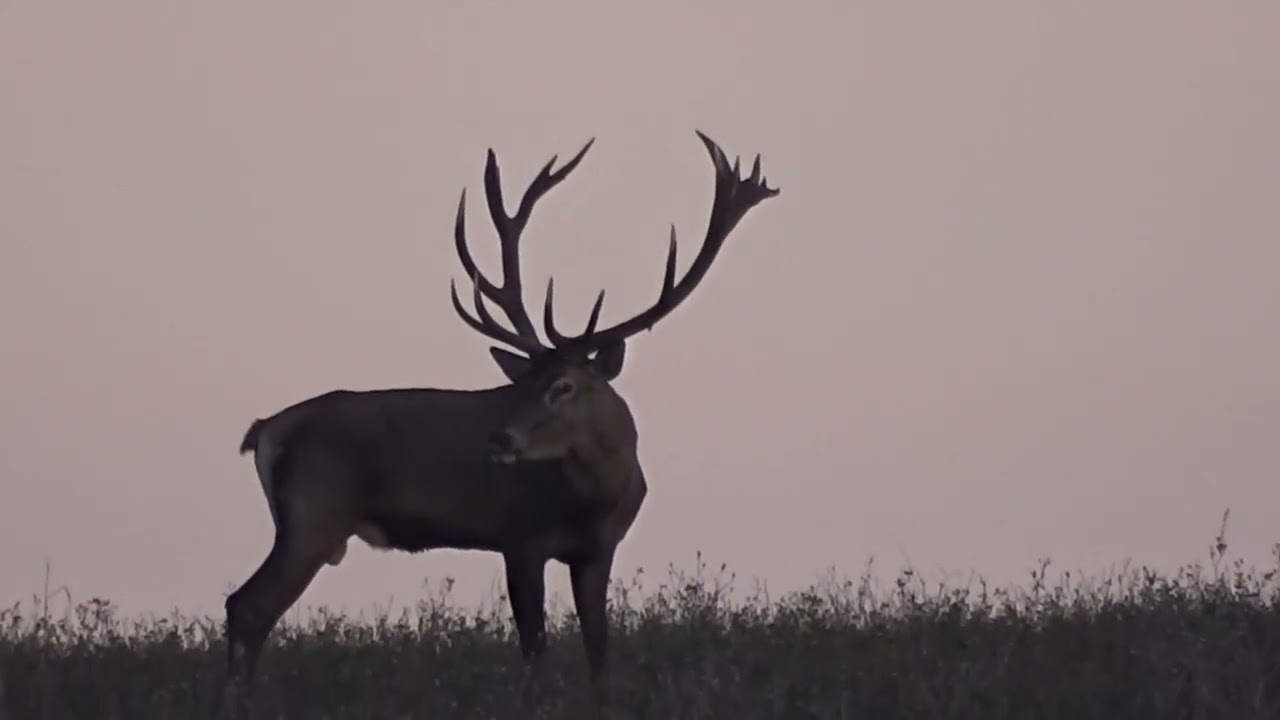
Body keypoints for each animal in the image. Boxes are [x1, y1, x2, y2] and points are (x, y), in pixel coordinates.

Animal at [226, 130, 779, 709]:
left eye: (563, 385)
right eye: (524, 382)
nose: (500, 437)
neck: (600, 495)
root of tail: (265, 430)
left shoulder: (598, 550)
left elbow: (598, 648)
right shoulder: (521, 539)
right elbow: (535, 650)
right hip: (315, 511)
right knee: (248, 606)